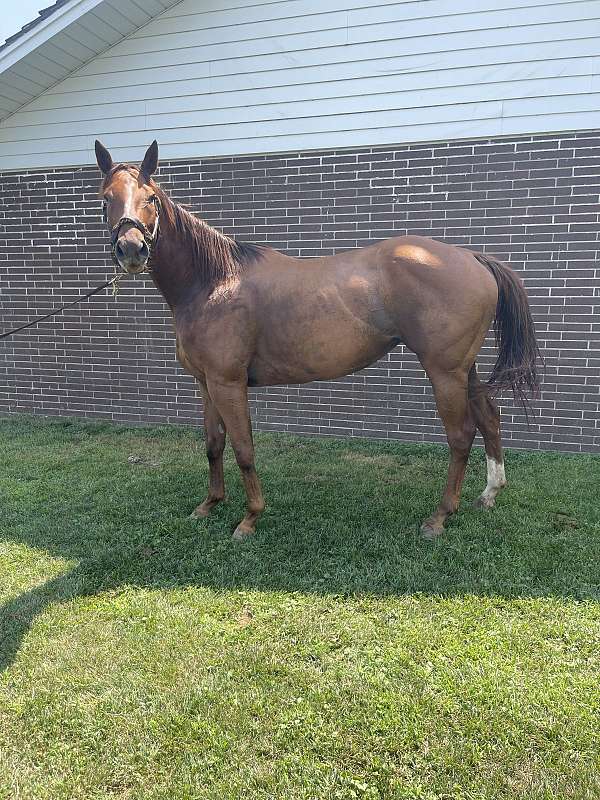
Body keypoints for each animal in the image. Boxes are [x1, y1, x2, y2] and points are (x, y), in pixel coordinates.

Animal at [94, 139, 540, 540]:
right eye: (105, 200)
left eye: (151, 198)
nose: (131, 249)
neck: (214, 281)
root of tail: (471, 257)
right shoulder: (205, 383)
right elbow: (213, 443)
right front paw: (209, 504)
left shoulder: (229, 383)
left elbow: (243, 448)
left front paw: (249, 519)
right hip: (465, 368)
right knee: (489, 418)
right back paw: (489, 494)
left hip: (444, 371)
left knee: (461, 436)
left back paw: (440, 516)